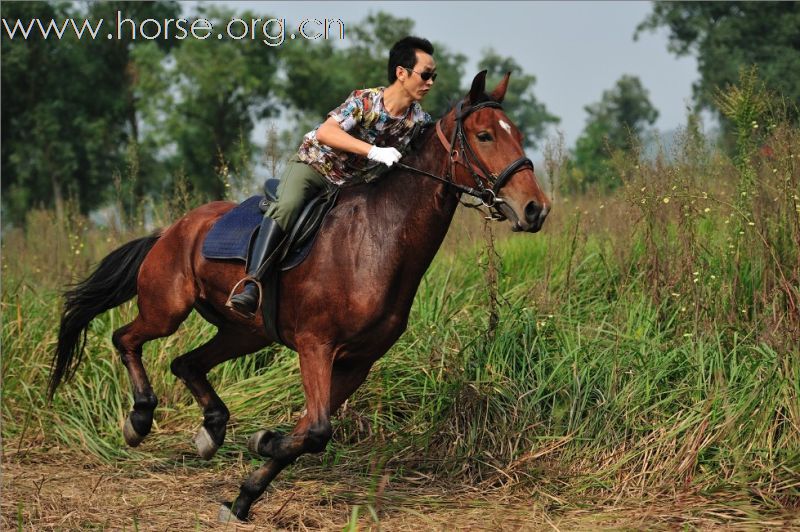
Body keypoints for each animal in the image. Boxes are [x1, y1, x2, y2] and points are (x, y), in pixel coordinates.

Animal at [48, 71, 552, 524]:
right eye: (484, 135)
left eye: (518, 134)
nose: (535, 209)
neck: (377, 240)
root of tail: (171, 230)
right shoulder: (316, 345)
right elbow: (316, 431)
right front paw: (261, 442)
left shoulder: (356, 361)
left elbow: (309, 431)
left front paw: (244, 496)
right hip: (166, 308)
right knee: (126, 338)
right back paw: (139, 420)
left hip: (245, 332)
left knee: (185, 362)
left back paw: (212, 429)